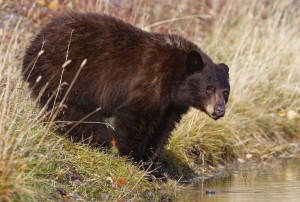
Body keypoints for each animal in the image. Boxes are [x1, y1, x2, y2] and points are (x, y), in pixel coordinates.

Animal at [22, 13, 231, 172]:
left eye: (226, 92)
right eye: (209, 88)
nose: (219, 110)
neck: (176, 77)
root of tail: (33, 45)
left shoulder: (172, 106)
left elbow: (162, 131)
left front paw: (151, 165)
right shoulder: (151, 82)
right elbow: (135, 117)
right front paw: (134, 158)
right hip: (65, 76)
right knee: (71, 111)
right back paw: (95, 139)